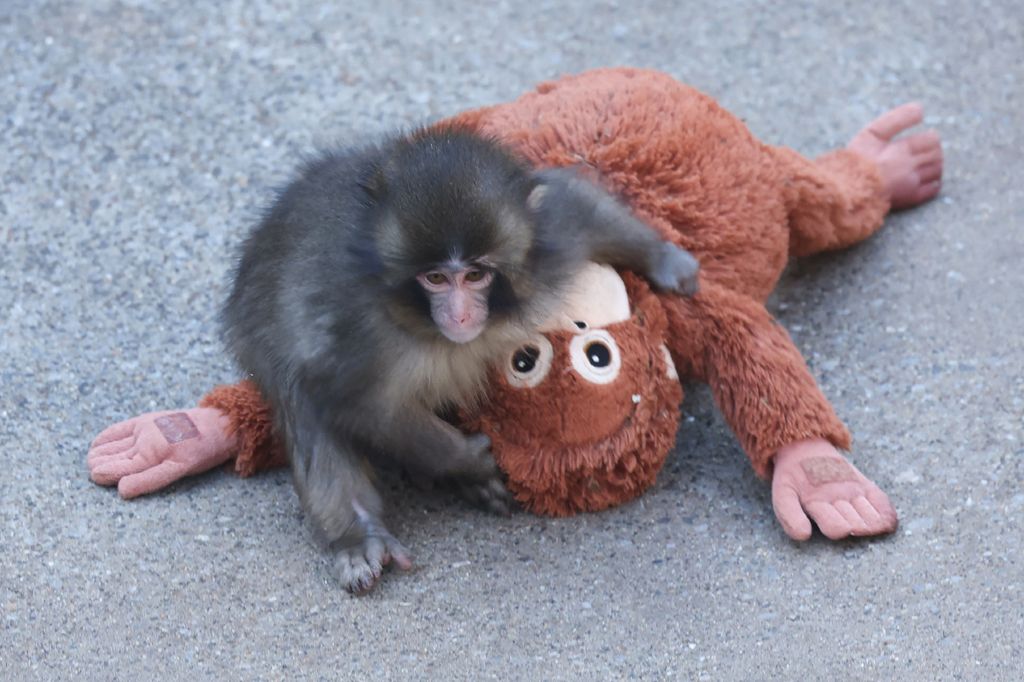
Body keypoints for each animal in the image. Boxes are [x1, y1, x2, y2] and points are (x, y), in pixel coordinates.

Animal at [222, 126, 699, 593]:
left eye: (475, 274)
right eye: (435, 278)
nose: (460, 314)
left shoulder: (548, 243)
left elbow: (577, 205)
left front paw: (666, 260)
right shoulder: (355, 331)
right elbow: (359, 404)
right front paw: (467, 459)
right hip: (256, 335)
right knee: (302, 400)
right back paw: (359, 534)